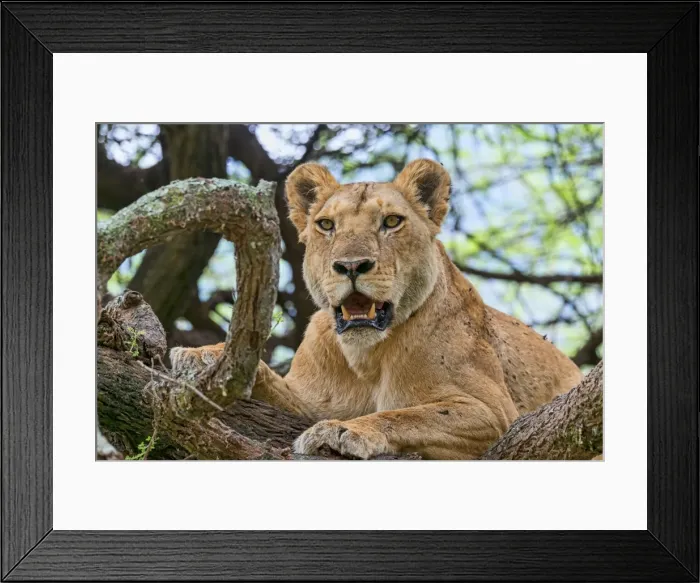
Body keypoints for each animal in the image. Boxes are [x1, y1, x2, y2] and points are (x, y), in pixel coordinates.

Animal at [171, 159, 583, 459]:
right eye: (326, 225)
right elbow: (268, 379)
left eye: (391, 221)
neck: (366, 356)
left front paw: (342, 430)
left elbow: (407, 414)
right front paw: (203, 355)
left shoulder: (494, 412)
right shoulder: (308, 401)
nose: (352, 266)